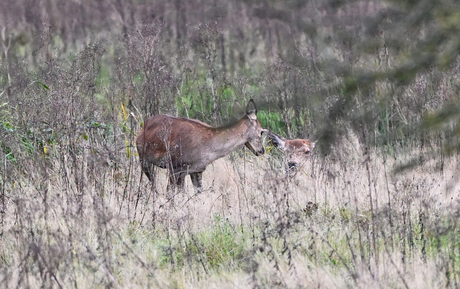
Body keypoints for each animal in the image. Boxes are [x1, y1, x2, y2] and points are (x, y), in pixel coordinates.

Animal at [137, 98, 266, 191]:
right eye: (261, 131)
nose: (261, 150)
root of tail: (142, 128)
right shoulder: (174, 168)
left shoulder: (196, 171)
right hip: (144, 161)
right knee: (153, 184)